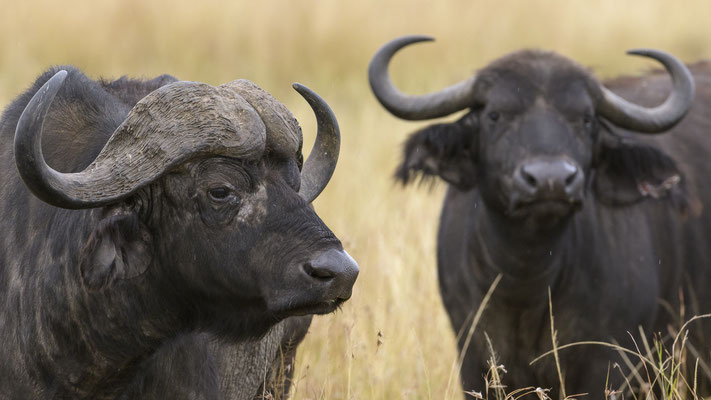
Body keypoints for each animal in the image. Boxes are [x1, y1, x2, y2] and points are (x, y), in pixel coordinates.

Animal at [370, 35, 711, 396]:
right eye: (495, 115)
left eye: (585, 118)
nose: (552, 180)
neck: (526, 286)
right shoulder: (474, 362)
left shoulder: (613, 365)